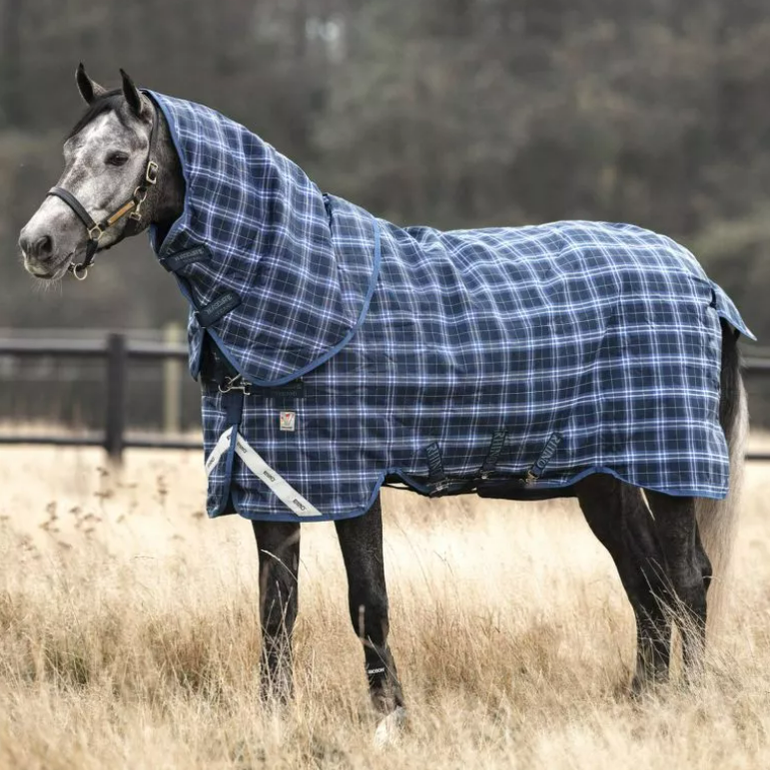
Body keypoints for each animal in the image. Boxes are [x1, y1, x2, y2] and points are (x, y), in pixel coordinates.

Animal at [18, 67, 750, 727]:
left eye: (118, 156)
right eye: (69, 151)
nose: (37, 244)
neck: (305, 291)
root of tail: (701, 281)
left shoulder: (353, 481)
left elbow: (367, 601)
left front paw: (389, 717)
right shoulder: (272, 480)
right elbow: (275, 608)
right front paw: (274, 717)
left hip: (669, 465)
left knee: (687, 579)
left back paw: (688, 704)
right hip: (607, 477)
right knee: (647, 583)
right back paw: (644, 701)